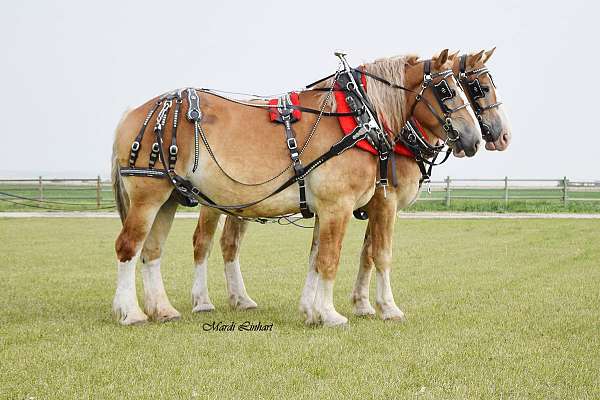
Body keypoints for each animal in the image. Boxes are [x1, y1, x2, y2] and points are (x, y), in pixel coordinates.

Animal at [110, 49, 480, 324]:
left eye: (467, 88)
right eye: (448, 90)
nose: (475, 138)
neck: (358, 117)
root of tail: (137, 112)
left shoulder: (326, 210)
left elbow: (317, 257)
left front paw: (313, 311)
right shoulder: (341, 206)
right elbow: (339, 258)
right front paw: (336, 313)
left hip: (169, 198)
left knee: (153, 251)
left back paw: (162, 309)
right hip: (148, 198)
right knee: (131, 247)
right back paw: (132, 312)